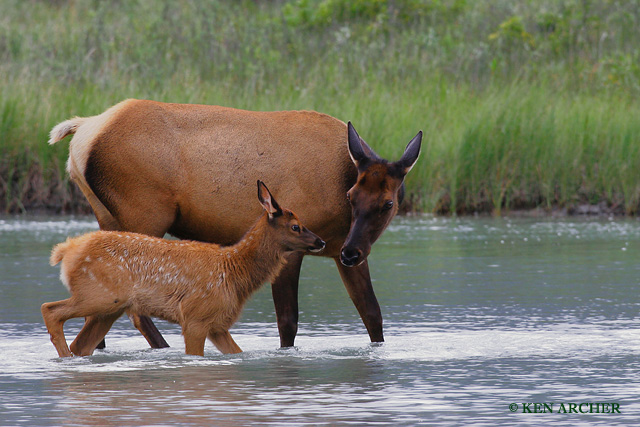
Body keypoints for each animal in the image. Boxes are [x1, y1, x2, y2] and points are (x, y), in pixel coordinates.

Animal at [42, 181, 326, 357]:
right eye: (296, 226)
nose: (320, 242)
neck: (234, 273)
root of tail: (67, 251)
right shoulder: (195, 316)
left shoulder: (217, 324)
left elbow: (237, 352)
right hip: (98, 294)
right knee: (50, 309)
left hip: (109, 309)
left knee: (81, 344)